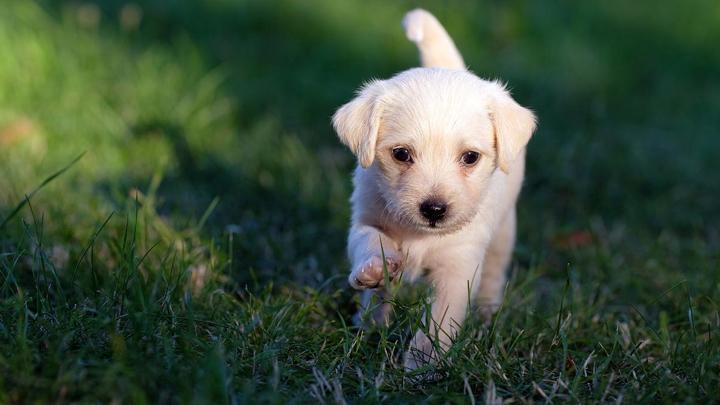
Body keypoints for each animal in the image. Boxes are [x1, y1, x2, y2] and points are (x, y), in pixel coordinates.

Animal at [332, 9, 536, 370]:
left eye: (470, 157)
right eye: (401, 154)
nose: (435, 209)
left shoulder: (459, 267)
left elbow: (439, 320)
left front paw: (423, 364)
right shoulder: (366, 218)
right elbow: (369, 241)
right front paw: (373, 269)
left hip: (504, 233)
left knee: (494, 272)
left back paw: (486, 313)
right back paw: (369, 322)